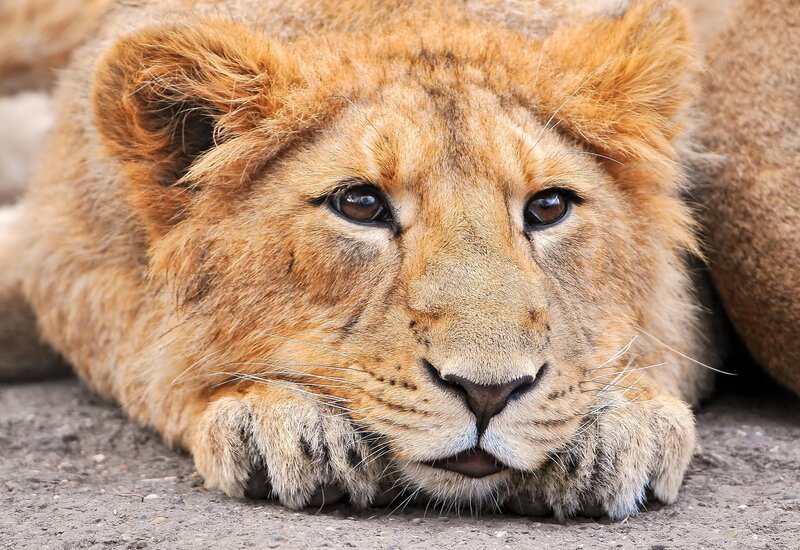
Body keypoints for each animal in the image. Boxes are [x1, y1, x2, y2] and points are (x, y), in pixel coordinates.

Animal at [0, 0, 755, 519]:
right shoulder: (63, 254)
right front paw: (280, 422)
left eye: (547, 208)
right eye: (360, 204)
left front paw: (616, 425)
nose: (488, 393)